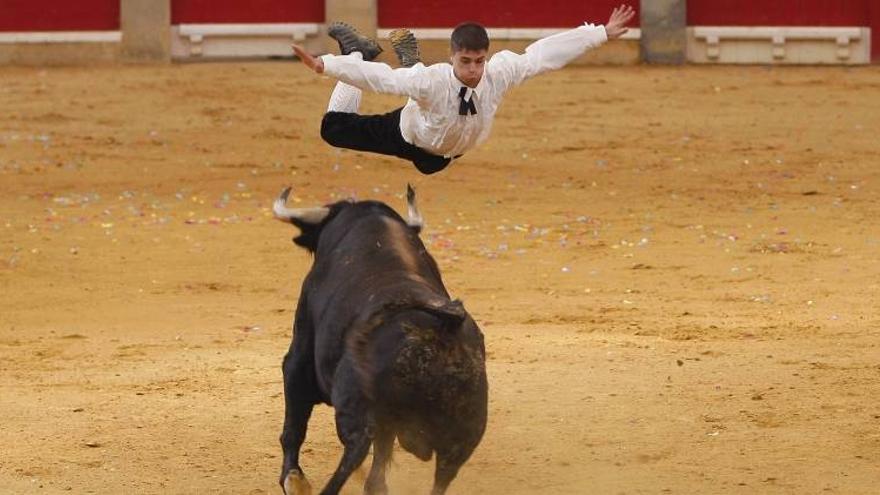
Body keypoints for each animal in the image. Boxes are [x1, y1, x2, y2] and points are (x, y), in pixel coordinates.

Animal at [274, 187, 488, 495]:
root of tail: (441, 326)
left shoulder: (297, 360)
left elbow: (293, 428)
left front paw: (294, 479)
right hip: (464, 435)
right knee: (437, 477)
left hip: (357, 412)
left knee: (352, 457)